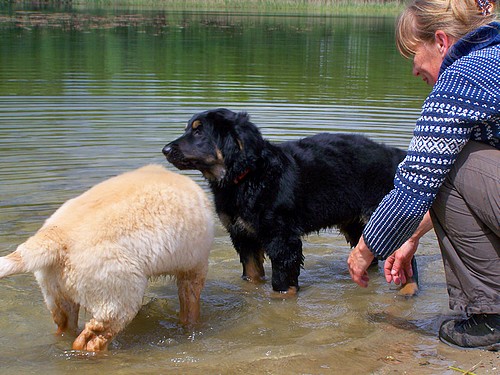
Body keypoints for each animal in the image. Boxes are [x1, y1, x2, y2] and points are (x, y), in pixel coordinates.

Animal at [0, 164, 213, 352]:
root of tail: (54, 236)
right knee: (90, 341)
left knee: (65, 328)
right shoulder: (194, 269)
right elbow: (190, 311)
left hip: (57, 295)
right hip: (118, 299)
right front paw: (193, 329)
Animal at [162, 107, 416, 296]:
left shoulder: (282, 238)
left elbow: (282, 283)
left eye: (199, 132)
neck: (247, 178)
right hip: (356, 224)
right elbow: (252, 275)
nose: (165, 149)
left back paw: (408, 290)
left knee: (404, 258)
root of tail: (395, 154)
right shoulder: (242, 234)